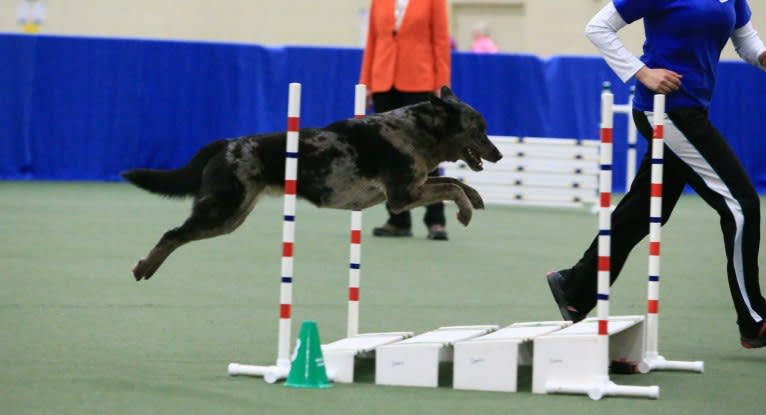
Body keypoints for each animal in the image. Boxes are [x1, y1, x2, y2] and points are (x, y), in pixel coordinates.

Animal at [124, 87, 504, 282]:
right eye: (479, 129)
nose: (500, 154)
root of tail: (226, 143)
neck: (417, 132)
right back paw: (145, 267)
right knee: (172, 234)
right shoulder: (401, 196)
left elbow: (452, 180)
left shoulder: (411, 188)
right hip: (222, 211)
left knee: (177, 235)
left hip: (231, 217)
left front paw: (475, 198)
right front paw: (465, 212)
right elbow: (451, 186)